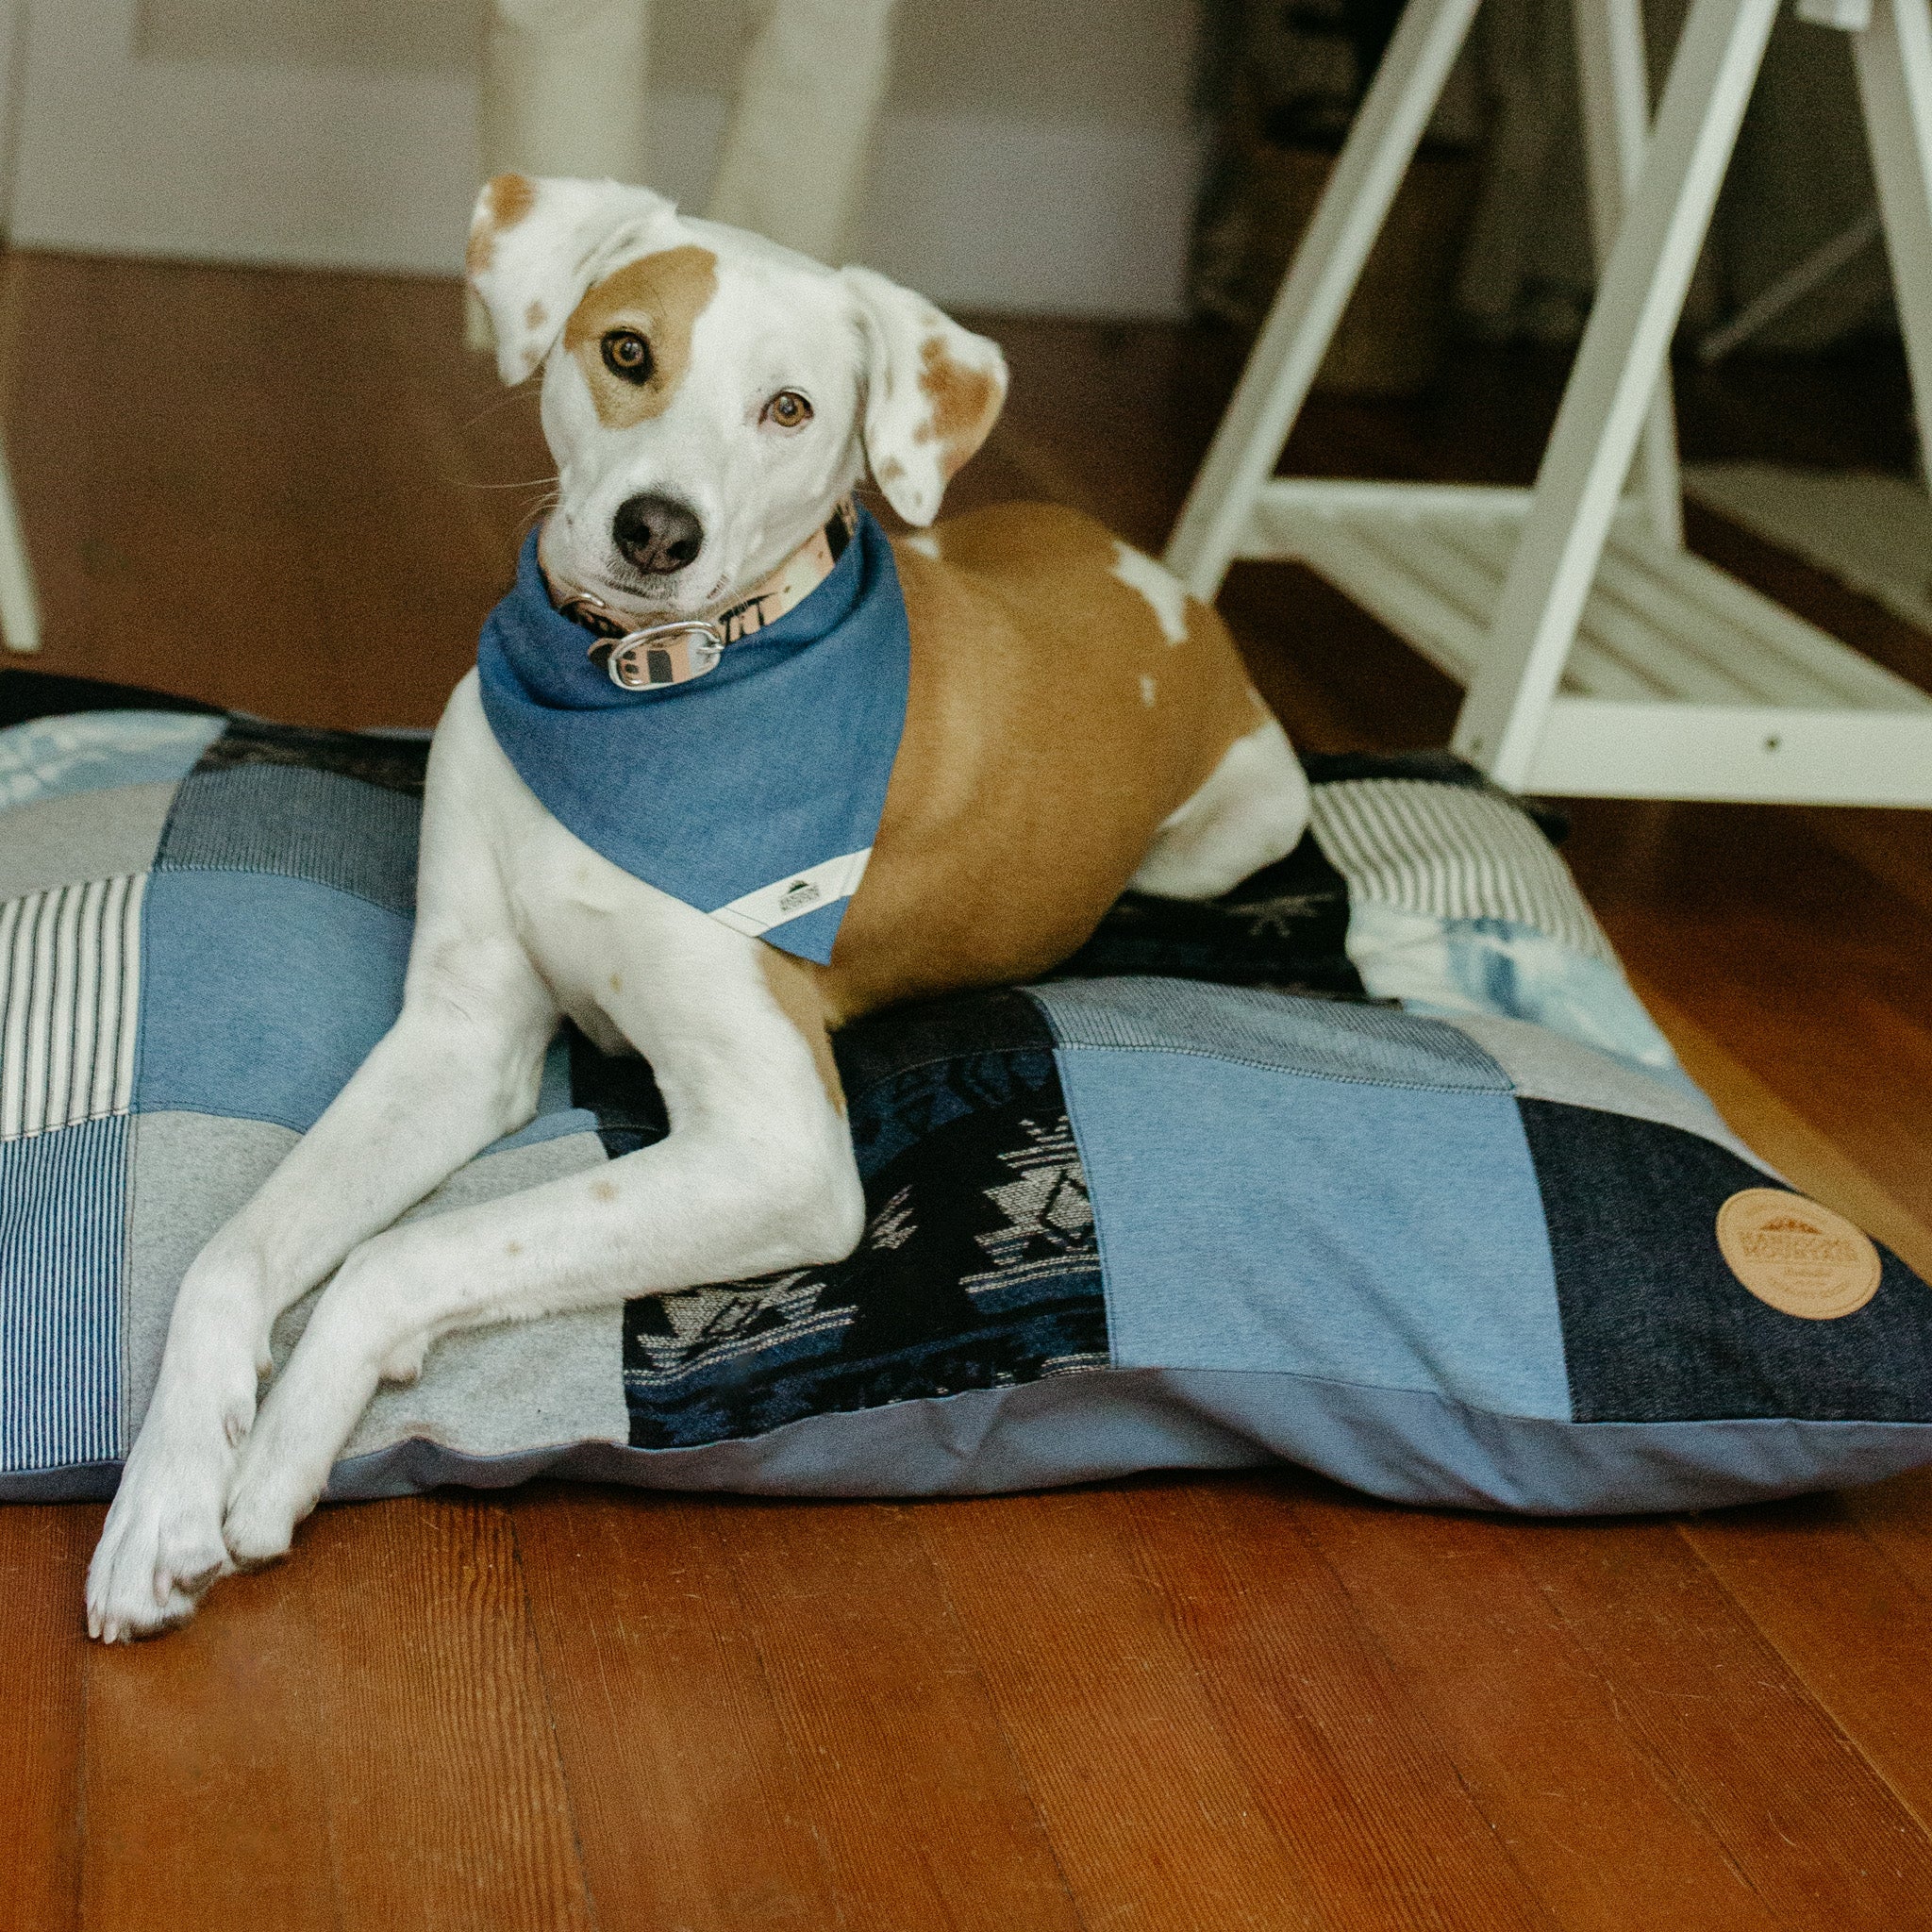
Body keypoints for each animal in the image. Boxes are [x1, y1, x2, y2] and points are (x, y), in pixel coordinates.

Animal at [83, 174, 1306, 1638]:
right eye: (627, 352)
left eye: (789, 407)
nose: (657, 532)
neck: (641, 697)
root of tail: (1155, 575)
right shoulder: (457, 1041)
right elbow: (234, 1251)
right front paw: (163, 1498)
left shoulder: (779, 1151)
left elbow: (410, 1254)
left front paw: (279, 1454)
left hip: (1235, 833)